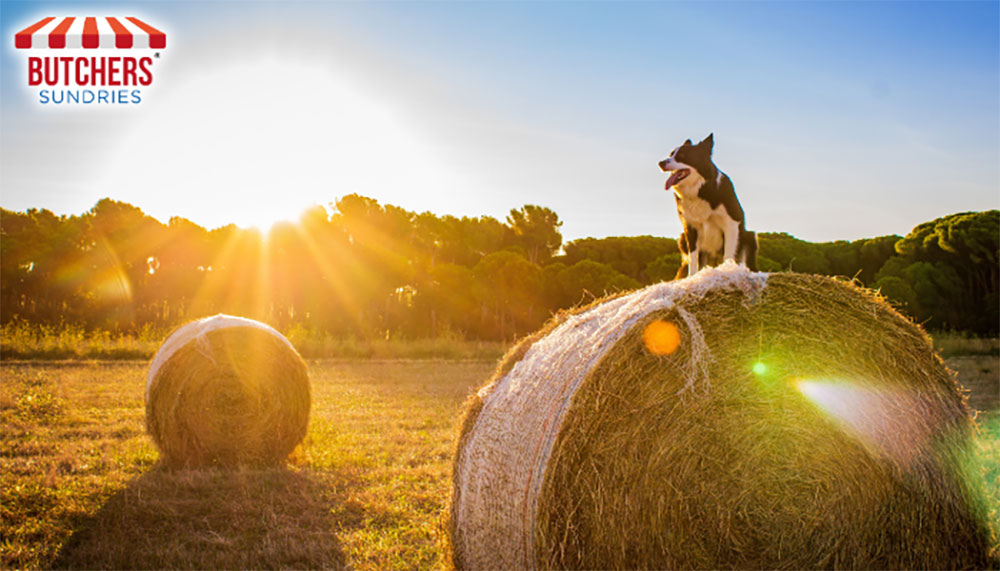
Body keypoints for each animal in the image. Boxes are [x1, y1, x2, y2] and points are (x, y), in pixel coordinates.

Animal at [656, 133, 756, 278]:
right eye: (670, 154)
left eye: (682, 156)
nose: (661, 163)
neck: (701, 190)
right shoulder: (690, 227)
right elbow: (693, 258)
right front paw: (691, 277)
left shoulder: (731, 223)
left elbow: (728, 253)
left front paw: (727, 270)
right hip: (682, 238)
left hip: (750, 236)